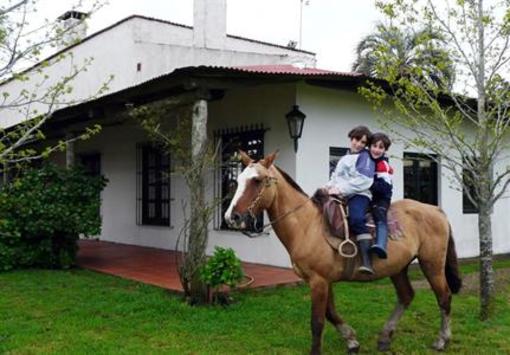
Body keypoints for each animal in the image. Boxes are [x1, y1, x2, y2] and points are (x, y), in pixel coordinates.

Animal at [225, 152, 460, 354]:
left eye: (257, 180)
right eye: (239, 180)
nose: (231, 217)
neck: (307, 226)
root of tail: (436, 210)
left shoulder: (318, 281)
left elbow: (317, 321)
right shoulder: (323, 281)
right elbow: (331, 313)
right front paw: (352, 341)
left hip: (432, 264)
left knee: (444, 297)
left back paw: (442, 340)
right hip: (399, 267)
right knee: (406, 296)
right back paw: (385, 337)